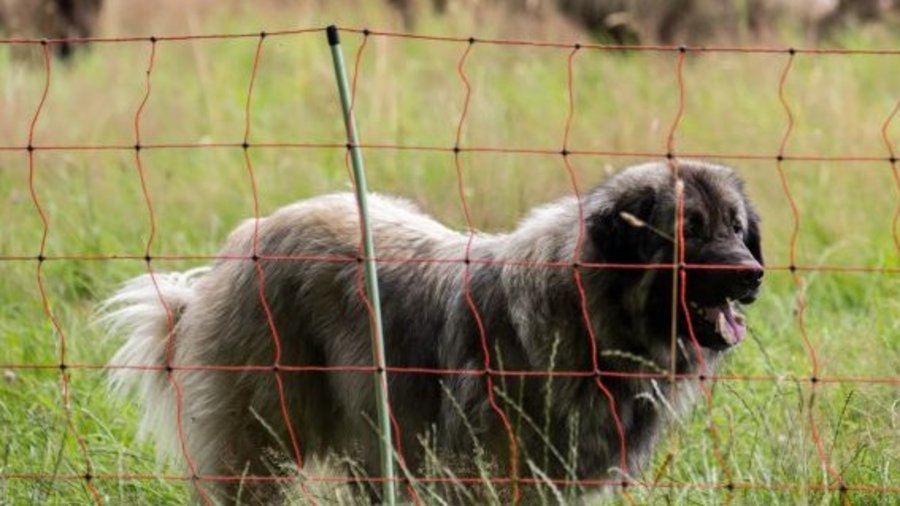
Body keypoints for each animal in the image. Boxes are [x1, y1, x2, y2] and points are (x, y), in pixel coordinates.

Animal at [102, 159, 764, 502]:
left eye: (735, 227)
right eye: (690, 231)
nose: (754, 275)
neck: (587, 319)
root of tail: (245, 241)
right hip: (263, 439)